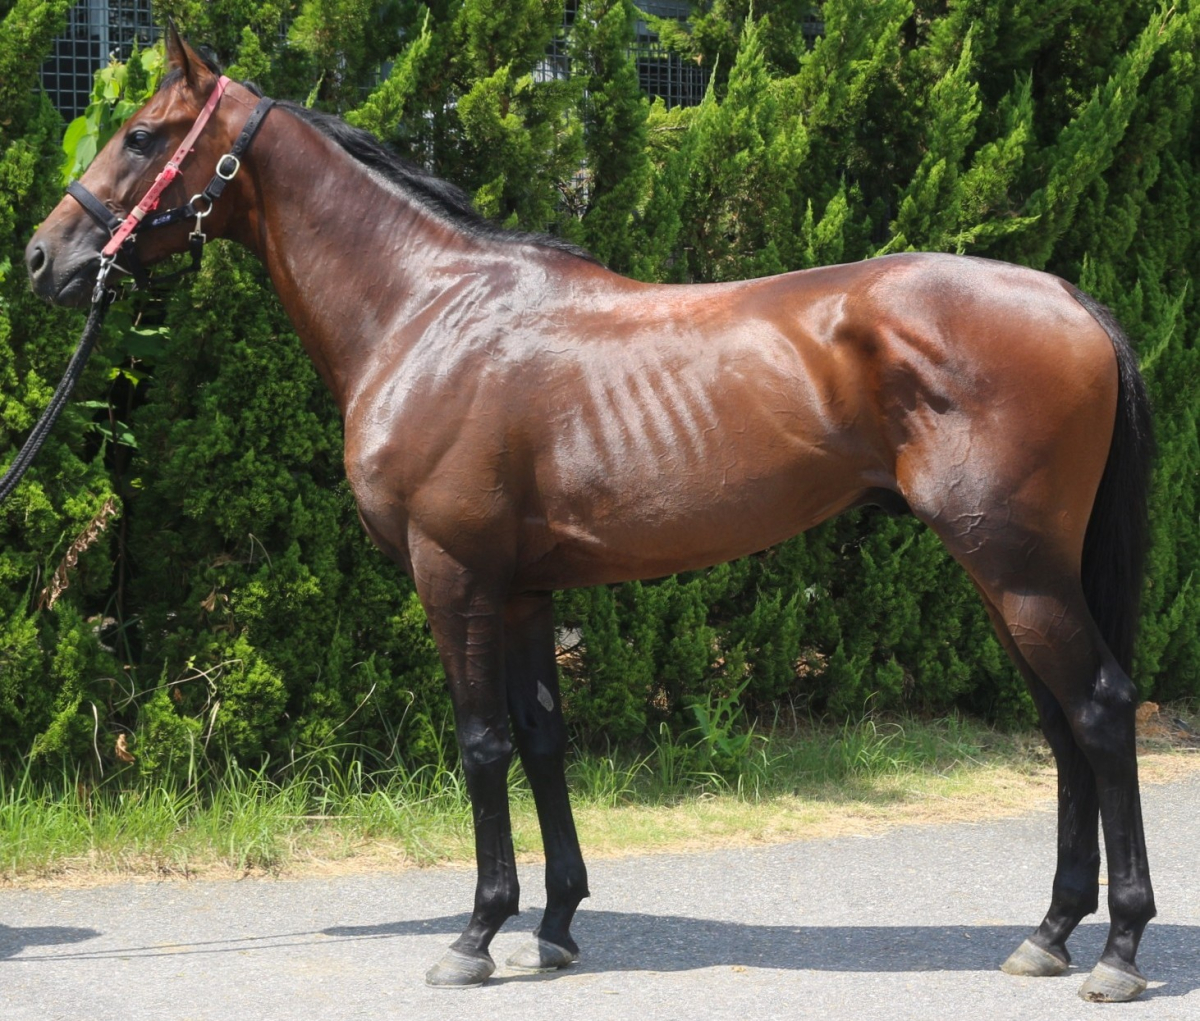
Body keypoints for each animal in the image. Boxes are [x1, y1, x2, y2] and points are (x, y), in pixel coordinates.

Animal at [24, 29, 1156, 1001]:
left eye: (143, 134)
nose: (42, 259)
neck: (427, 310)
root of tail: (1070, 299)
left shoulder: (454, 573)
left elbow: (482, 741)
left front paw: (477, 934)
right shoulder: (525, 587)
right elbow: (541, 736)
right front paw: (556, 925)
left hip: (1016, 566)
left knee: (1100, 710)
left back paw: (1117, 950)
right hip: (1011, 574)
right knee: (1061, 725)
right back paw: (1050, 933)